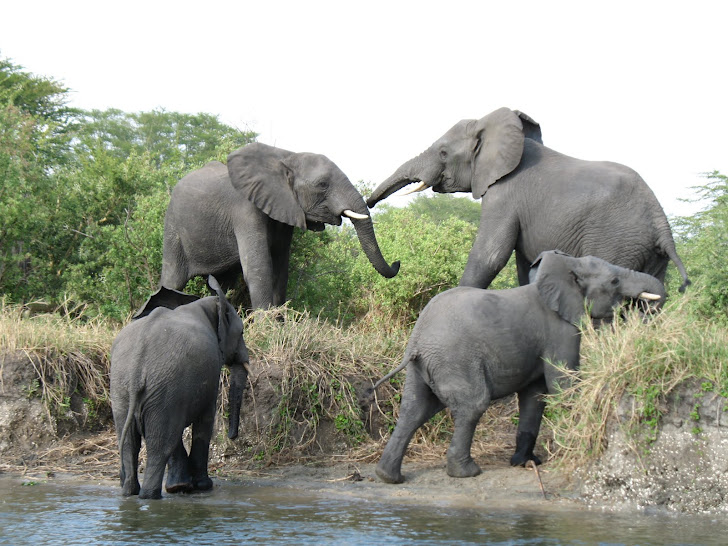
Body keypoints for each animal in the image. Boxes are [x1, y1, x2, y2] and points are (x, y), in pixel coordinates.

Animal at [109, 276, 250, 498]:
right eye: (242, 331)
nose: (232, 436)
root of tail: (137, 364)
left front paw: (180, 486)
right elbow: (205, 421)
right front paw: (201, 486)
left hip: (126, 387)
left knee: (131, 442)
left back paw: (130, 492)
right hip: (163, 387)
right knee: (159, 447)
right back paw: (149, 496)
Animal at [162, 142, 400, 308]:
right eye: (322, 184)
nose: (397, 262)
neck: (287, 157)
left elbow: (280, 269)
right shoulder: (245, 210)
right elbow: (259, 270)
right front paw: (267, 331)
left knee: (223, 284)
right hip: (173, 226)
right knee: (171, 282)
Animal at [366, 107, 692, 294]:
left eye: (444, 152)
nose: (369, 202)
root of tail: (661, 223)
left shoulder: (504, 194)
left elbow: (490, 256)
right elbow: (525, 265)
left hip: (617, 242)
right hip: (645, 251)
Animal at [370, 249, 664, 482]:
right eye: (614, 281)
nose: (640, 309)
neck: (569, 266)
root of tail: (418, 342)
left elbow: (535, 396)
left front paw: (526, 462)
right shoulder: (560, 330)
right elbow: (562, 384)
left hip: (424, 366)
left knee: (415, 409)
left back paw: (388, 477)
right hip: (455, 359)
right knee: (472, 405)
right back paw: (467, 472)